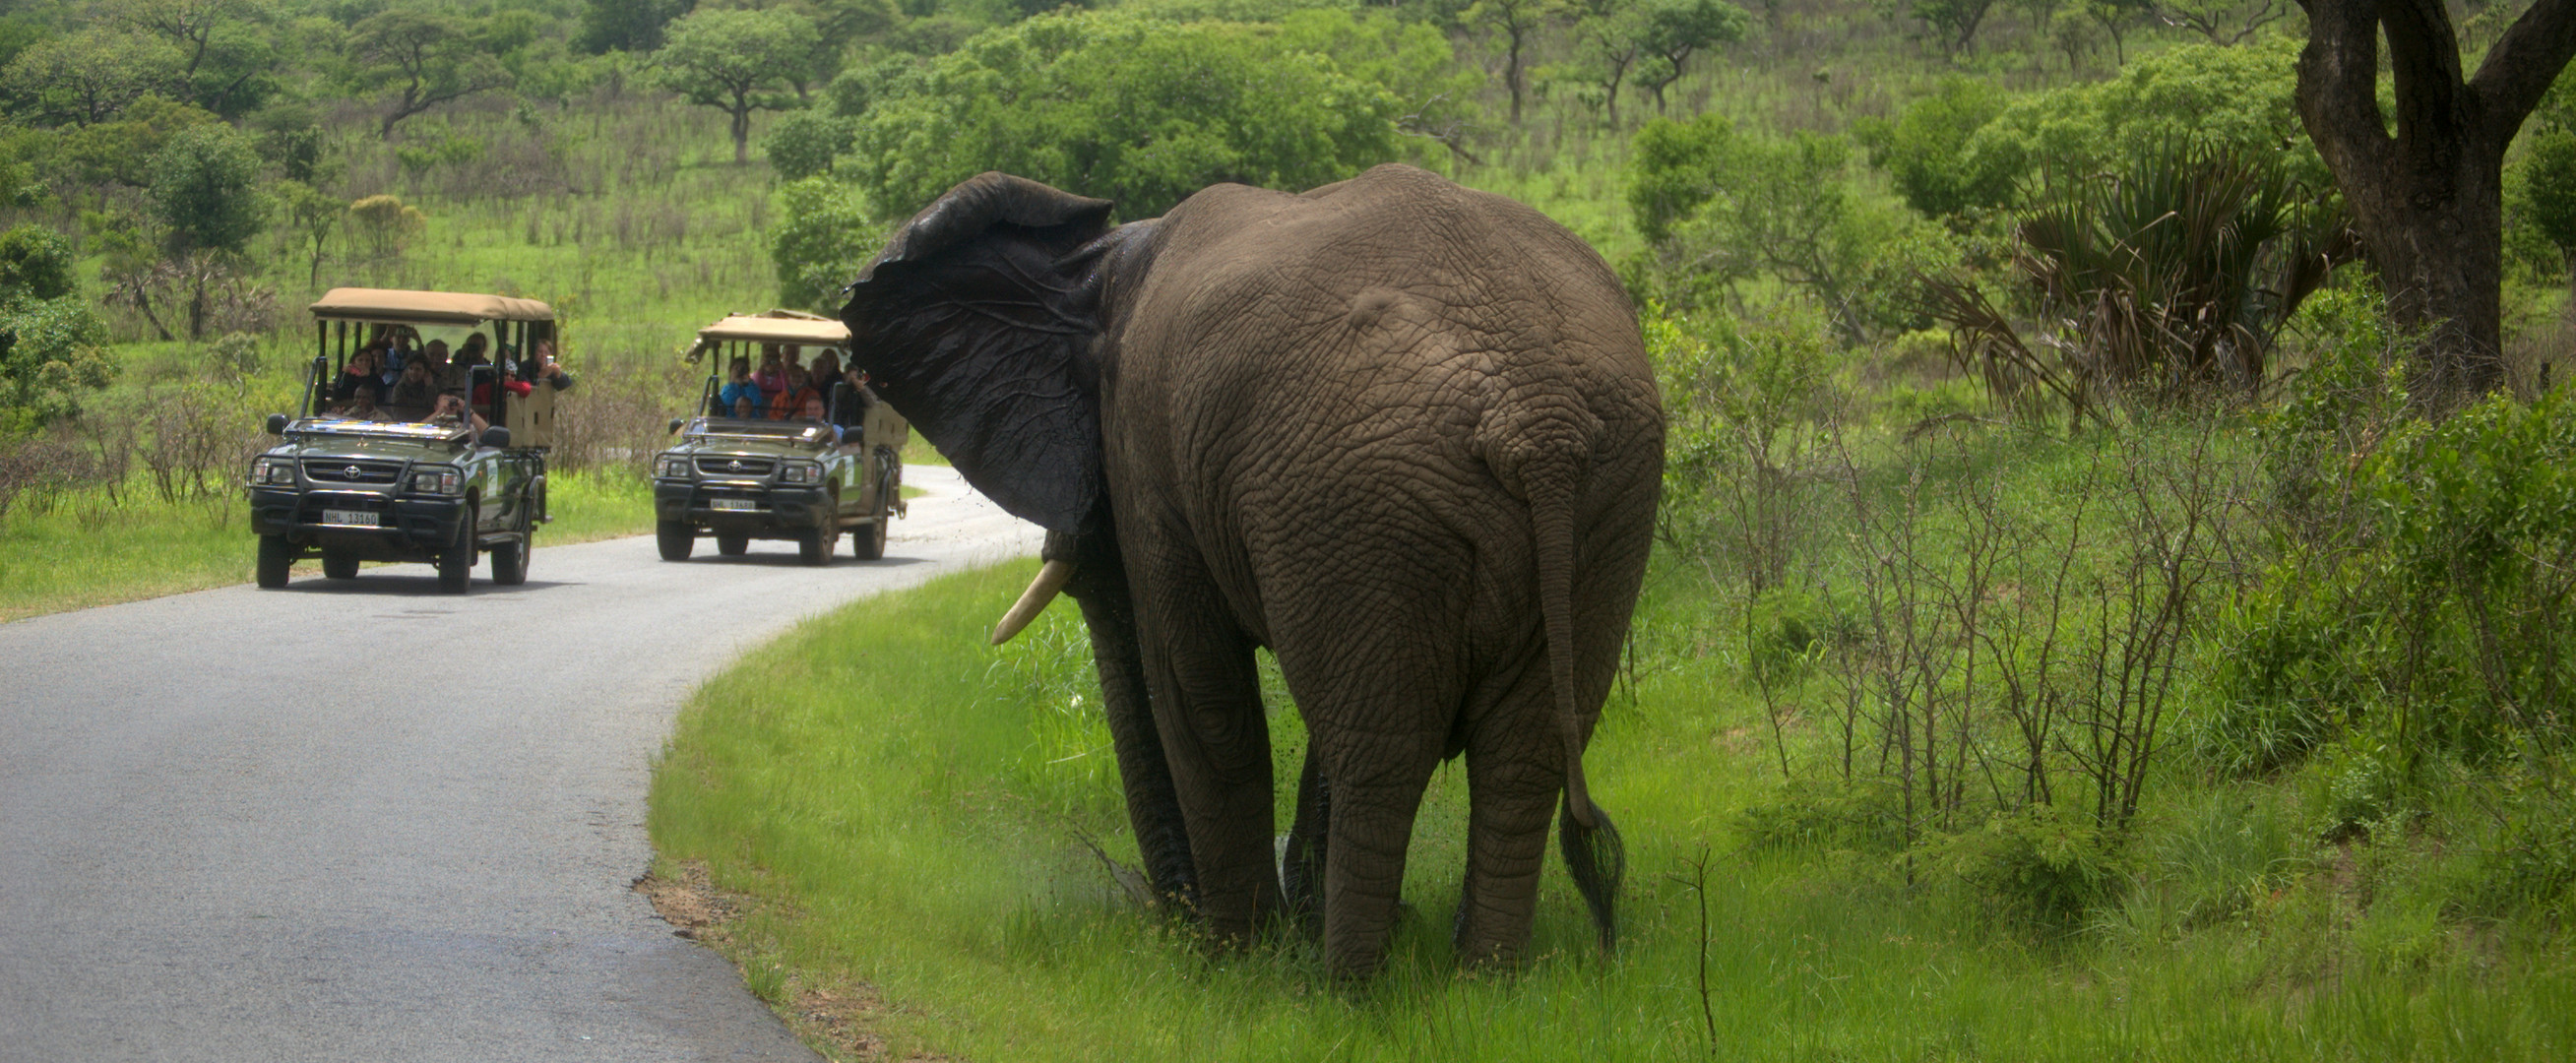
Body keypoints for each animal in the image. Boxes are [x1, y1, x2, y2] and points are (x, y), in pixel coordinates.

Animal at [834, 159, 1659, 977]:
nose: (1170, 915)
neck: (1105, 262)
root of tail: (1534, 418)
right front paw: (1270, 935)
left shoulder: (1152, 454)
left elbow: (1196, 691)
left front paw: (1231, 960)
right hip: (1600, 504)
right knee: (1521, 754)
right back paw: (1483, 979)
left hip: (1360, 492)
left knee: (1383, 756)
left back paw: (1347, 985)